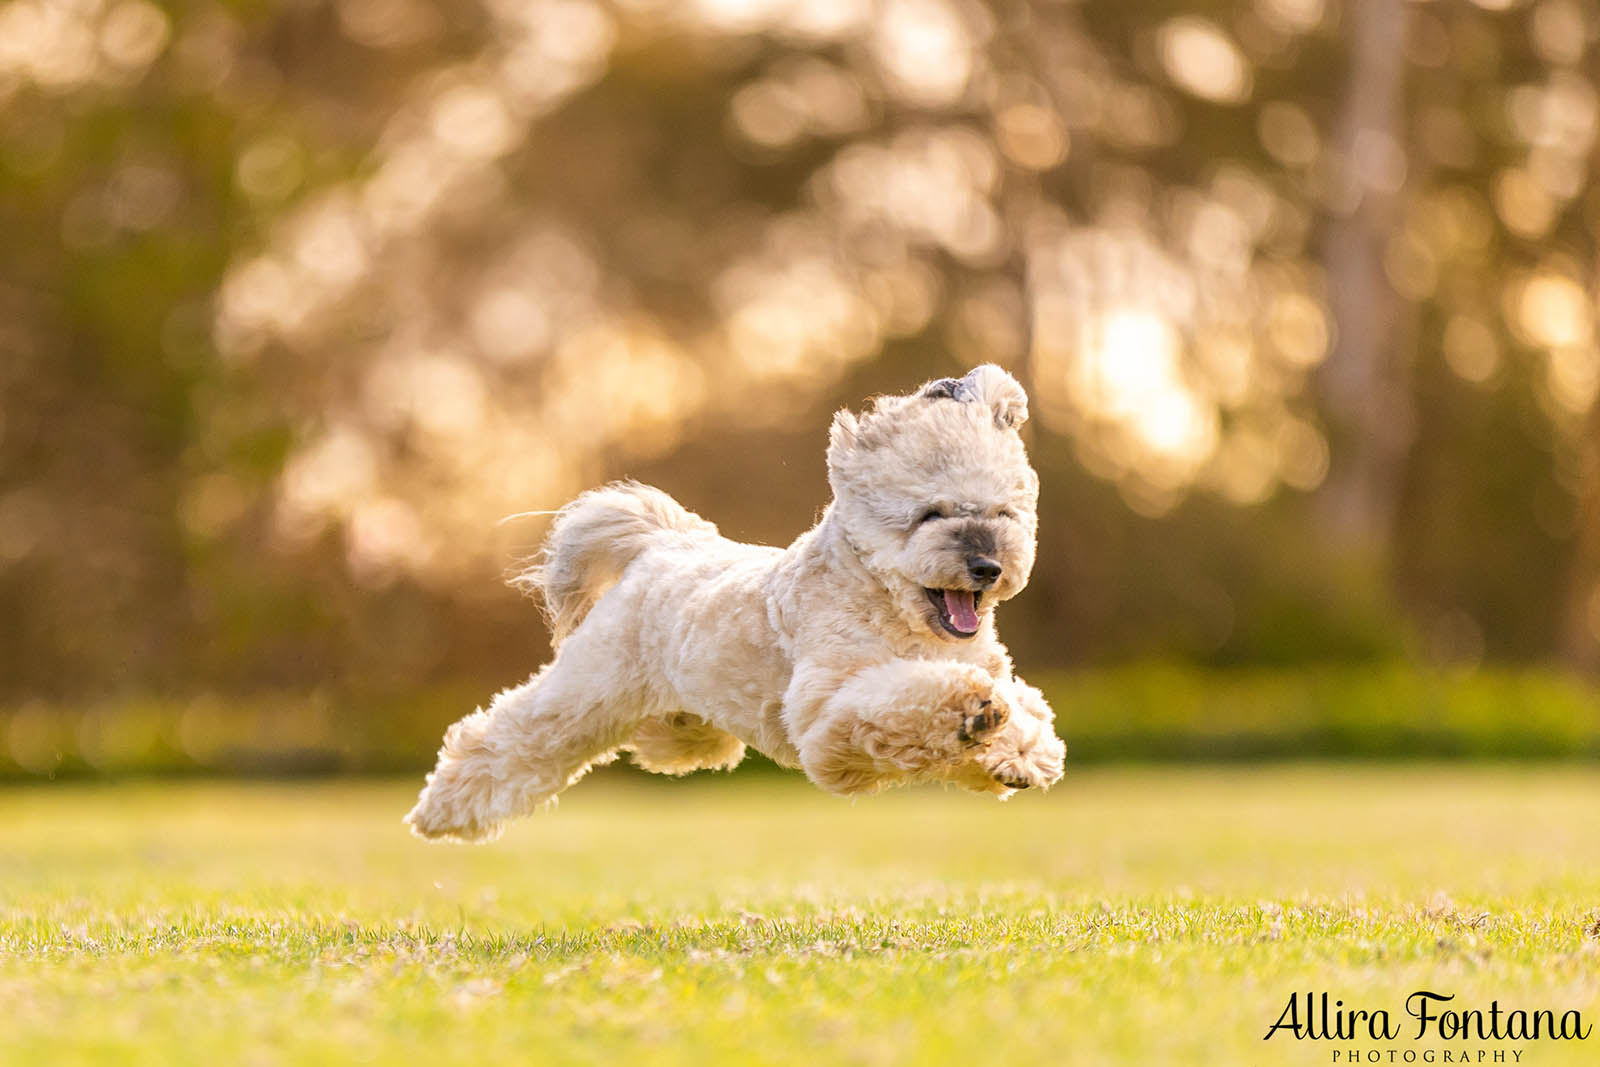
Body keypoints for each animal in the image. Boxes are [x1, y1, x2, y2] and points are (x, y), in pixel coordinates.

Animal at [409, 367, 1062, 844]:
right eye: (931, 514)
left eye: (1003, 513)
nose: (988, 566)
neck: (902, 621)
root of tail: (667, 542)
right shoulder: (828, 718)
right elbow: (905, 703)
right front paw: (968, 712)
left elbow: (1027, 716)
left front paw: (1017, 753)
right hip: (585, 693)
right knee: (504, 740)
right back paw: (440, 812)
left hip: (684, 724)